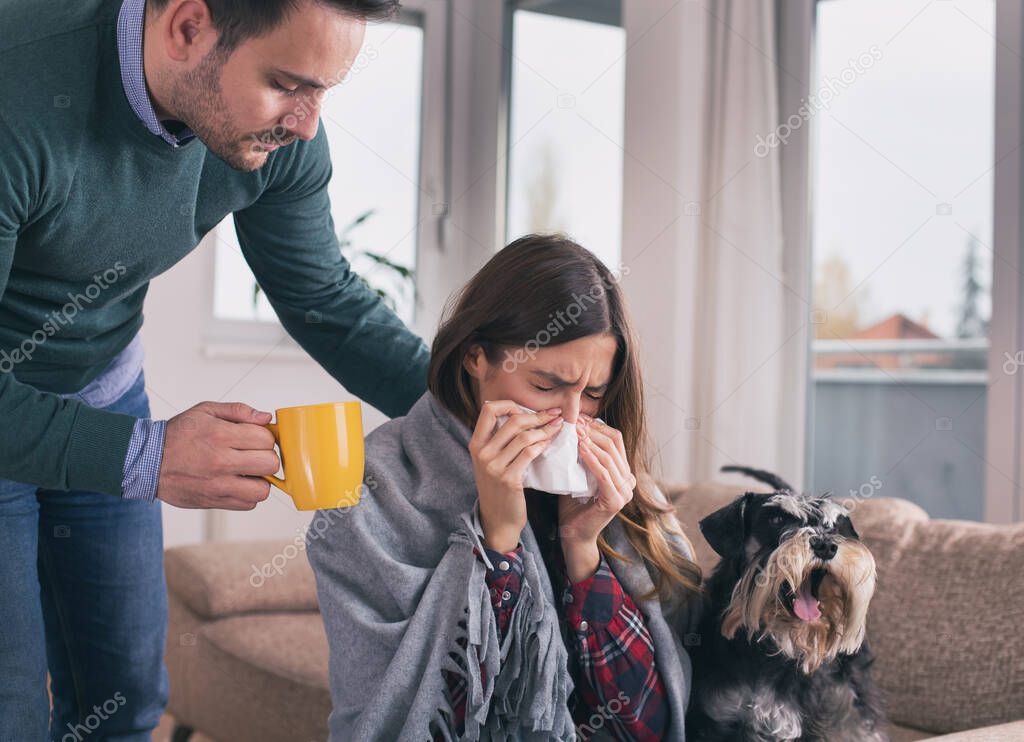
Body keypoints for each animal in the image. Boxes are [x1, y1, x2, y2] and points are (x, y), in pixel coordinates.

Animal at [688, 466, 888, 736]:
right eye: (776, 520)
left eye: (832, 526)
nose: (826, 545)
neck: (764, 645)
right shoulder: (714, 719)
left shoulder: (802, 722)